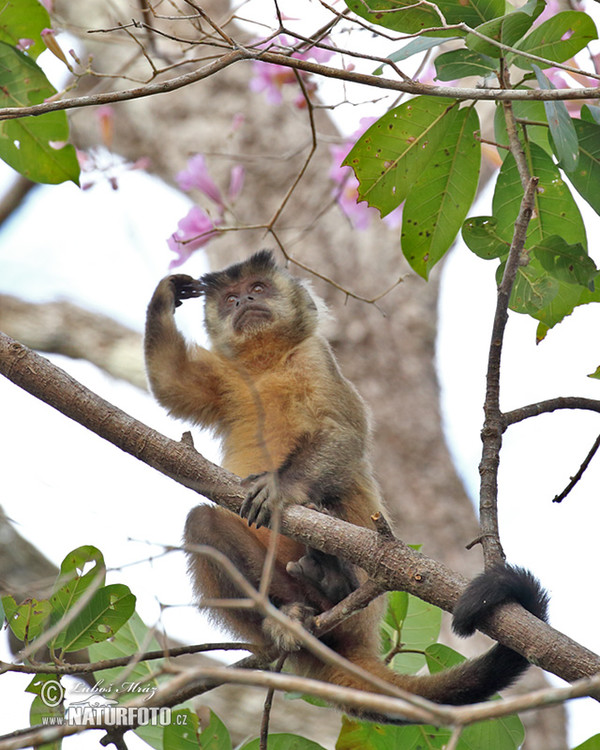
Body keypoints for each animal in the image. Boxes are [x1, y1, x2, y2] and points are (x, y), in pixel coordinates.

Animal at [145, 250, 548, 724]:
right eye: (230, 298)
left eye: (258, 288)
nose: (244, 300)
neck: (268, 363)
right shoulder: (230, 376)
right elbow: (171, 384)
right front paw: (165, 295)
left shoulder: (317, 359)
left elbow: (345, 435)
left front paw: (283, 488)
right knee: (203, 524)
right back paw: (290, 615)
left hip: (362, 606)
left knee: (331, 491)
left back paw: (333, 582)